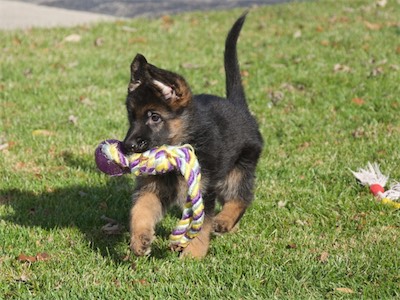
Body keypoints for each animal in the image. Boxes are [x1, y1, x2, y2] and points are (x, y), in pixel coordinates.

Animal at [123, 13, 264, 258]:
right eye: (132, 116)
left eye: (154, 117)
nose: (126, 146)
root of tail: (239, 107)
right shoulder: (152, 187)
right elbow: (140, 209)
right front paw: (140, 239)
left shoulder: (203, 190)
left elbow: (201, 224)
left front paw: (192, 256)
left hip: (239, 168)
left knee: (241, 197)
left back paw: (224, 220)